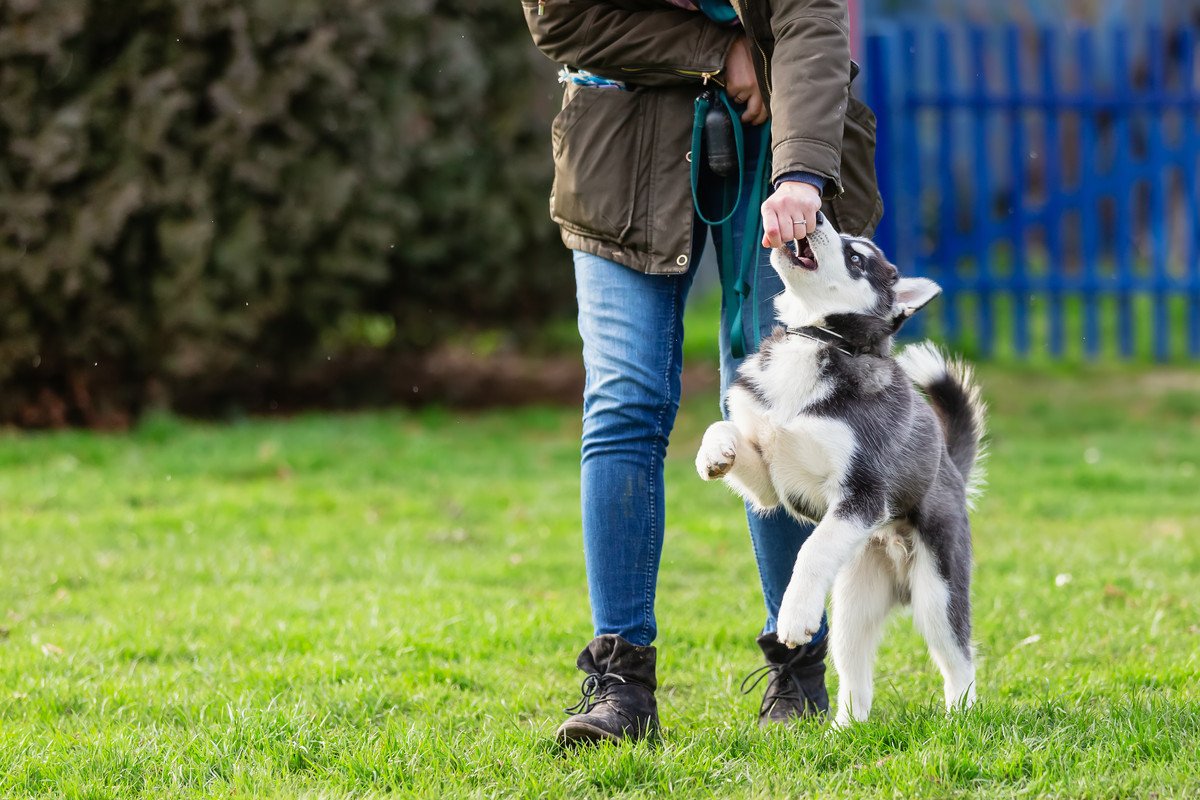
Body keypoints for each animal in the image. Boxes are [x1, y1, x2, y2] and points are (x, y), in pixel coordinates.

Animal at [696, 212, 984, 724]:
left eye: (856, 258)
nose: (814, 214)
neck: (815, 339)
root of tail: (949, 466)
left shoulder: (864, 494)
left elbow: (811, 551)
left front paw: (794, 617)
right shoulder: (770, 481)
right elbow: (725, 426)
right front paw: (714, 453)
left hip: (938, 592)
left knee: (959, 659)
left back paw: (961, 719)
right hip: (854, 603)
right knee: (855, 672)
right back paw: (846, 727)